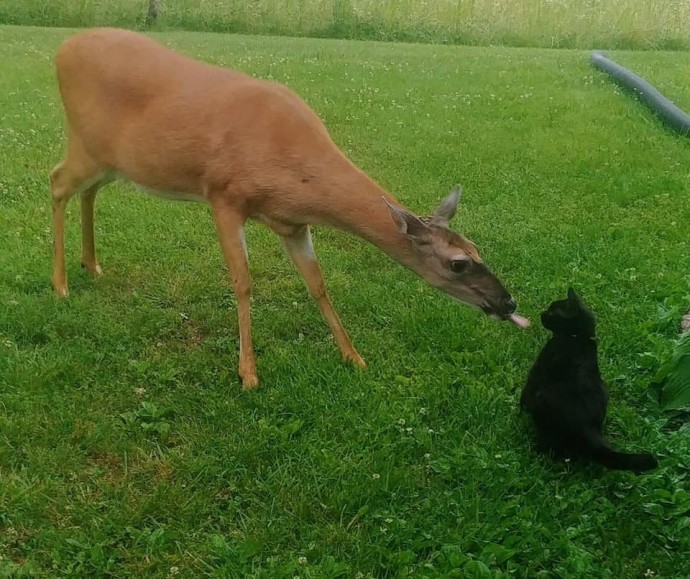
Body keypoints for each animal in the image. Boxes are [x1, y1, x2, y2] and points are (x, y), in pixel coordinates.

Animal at [51, 27, 528, 390]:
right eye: (458, 263)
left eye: (477, 249)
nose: (507, 302)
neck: (291, 168)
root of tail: (63, 47)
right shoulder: (224, 195)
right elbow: (243, 282)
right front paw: (248, 374)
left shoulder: (293, 225)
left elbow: (318, 285)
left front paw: (353, 356)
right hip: (85, 145)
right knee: (57, 182)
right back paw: (61, 284)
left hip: (111, 162)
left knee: (88, 192)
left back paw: (92, 264)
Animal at [520, 288, 660, 474]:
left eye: (552, 311)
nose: (542, 313)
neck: (579, 337)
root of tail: (588, 428)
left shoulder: (540, 367)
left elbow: (526, 391)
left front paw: (520, 410)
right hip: (604, 393)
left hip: (543, 402)